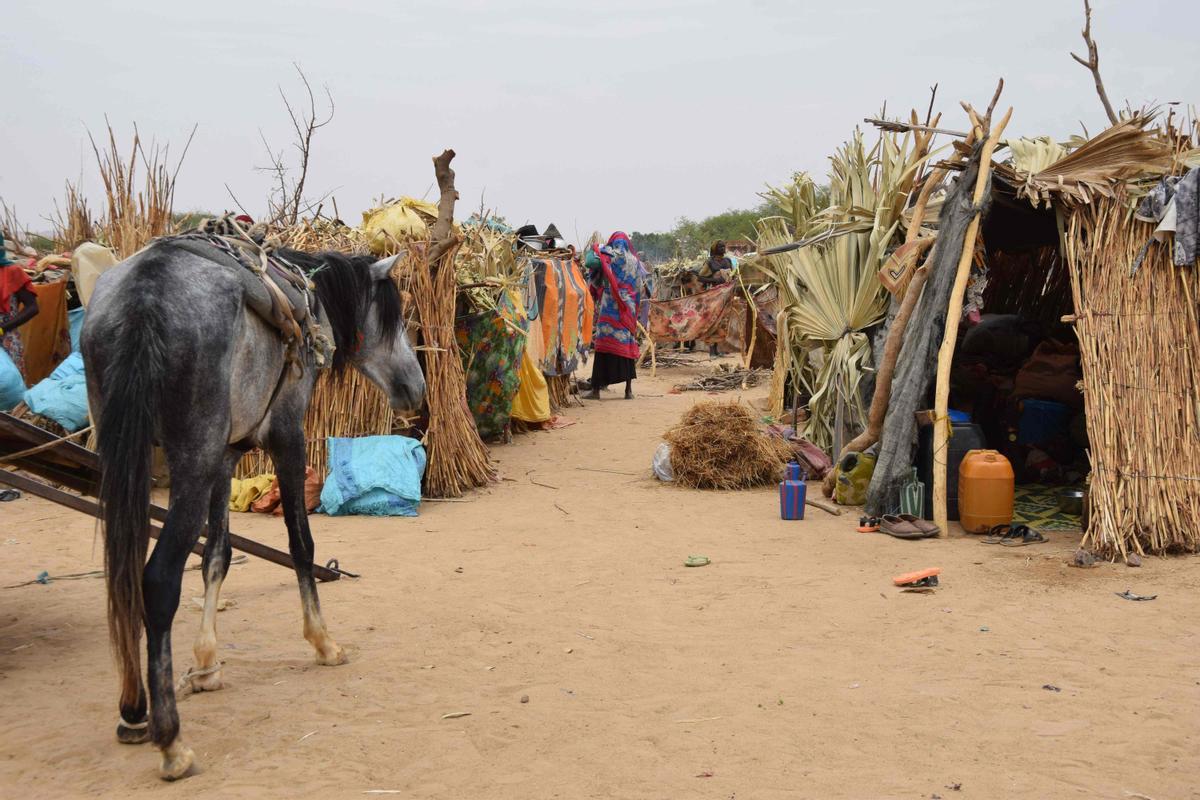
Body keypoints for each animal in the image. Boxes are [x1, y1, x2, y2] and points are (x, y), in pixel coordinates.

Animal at [81, 239, 427, 782]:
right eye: (397, 318)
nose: (417, 388)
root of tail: (144, 292)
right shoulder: (287, 437)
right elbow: (301, 543)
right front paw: (322, 641)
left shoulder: (225, 456)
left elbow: (217, 555)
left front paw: (206, 663)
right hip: (190, 461)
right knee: (156, 580)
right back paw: (170, 740)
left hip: (129, 460)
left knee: (124, 574)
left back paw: (133, 710)